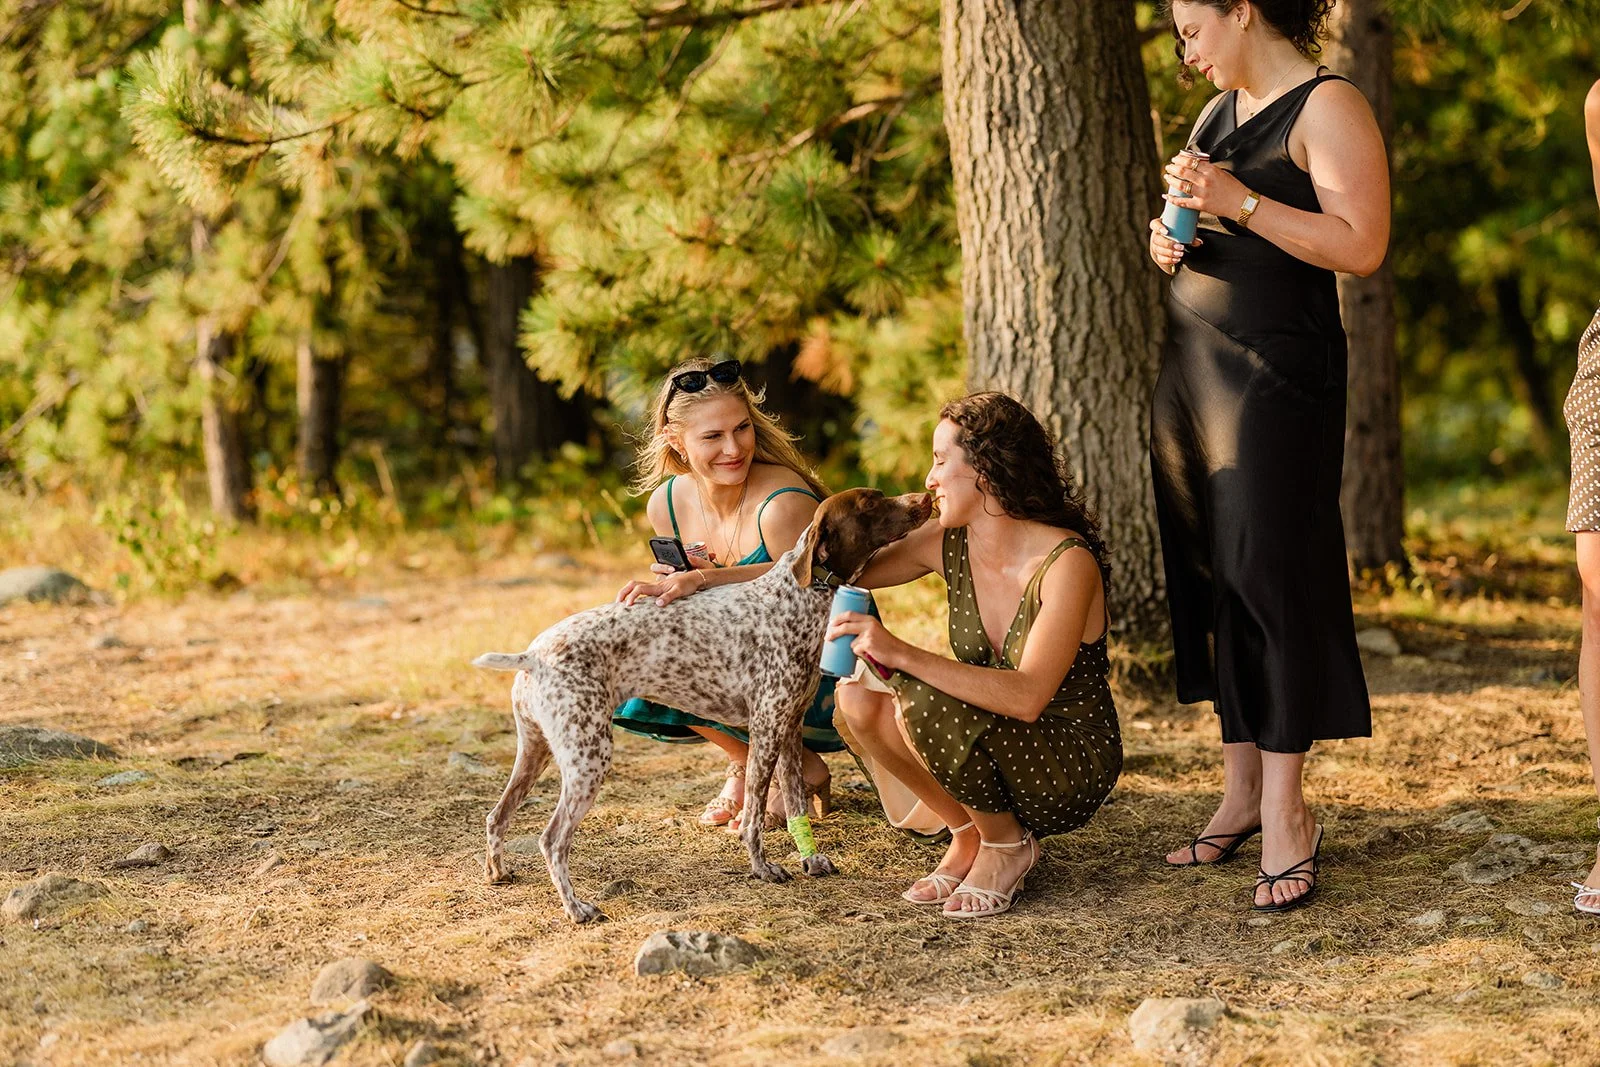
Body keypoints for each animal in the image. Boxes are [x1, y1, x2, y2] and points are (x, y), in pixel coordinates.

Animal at [471, 488, 934, 922]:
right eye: (870, 503)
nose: (925, 497)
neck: (801, 598)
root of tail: (533, 655)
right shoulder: (766, 730)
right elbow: (753, 817)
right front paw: (762, 869)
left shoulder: (789, 729)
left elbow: (796, 803)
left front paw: (811, 860)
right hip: (589, 757)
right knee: (551, 840)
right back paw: (577, 909)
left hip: (536, 753)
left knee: (497, 815)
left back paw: (498, 873)